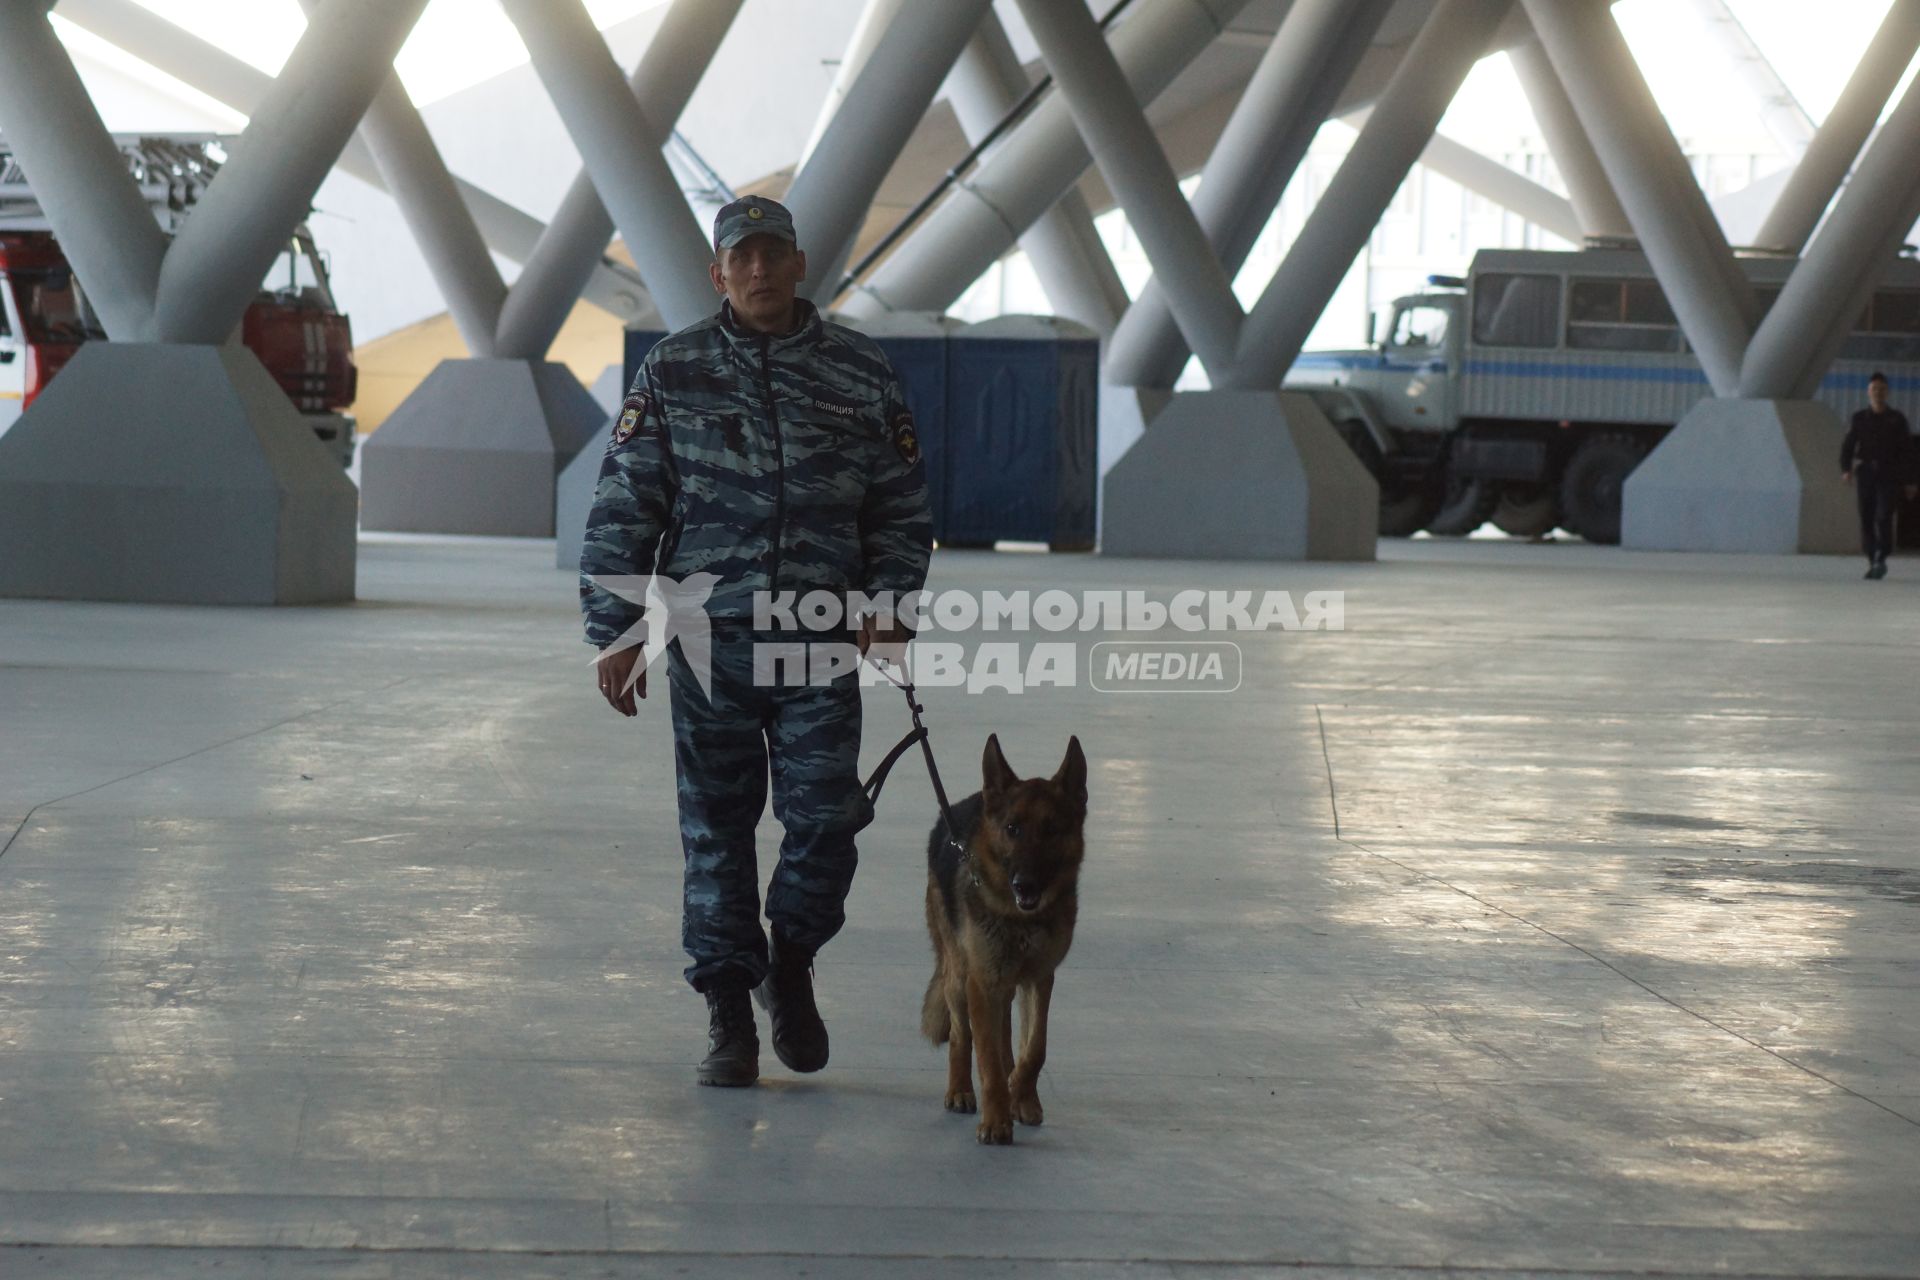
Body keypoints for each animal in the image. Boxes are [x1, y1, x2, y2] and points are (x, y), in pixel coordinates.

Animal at [921, 736, 1090, 1143]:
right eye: (1013, 829)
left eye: (1051, 830)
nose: (1024, 885)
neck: (1020, 921)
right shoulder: (983, 984)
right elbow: (987, 1058)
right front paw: (996, 1119)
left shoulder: (1039, 979)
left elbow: (1034, 1049)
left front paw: (1022, 1098)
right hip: (960, 978)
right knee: (962, 1036)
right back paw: (960, 1090)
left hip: (1005, 985)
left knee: (1005, 1038)